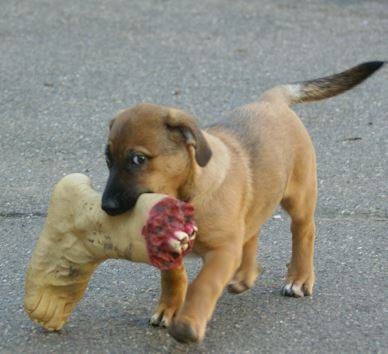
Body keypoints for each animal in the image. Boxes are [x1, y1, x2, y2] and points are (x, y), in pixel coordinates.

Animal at [102, 61, 384, 342]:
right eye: (107, 159)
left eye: (138, 159)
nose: (106, 207)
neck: (188, 193)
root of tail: (271, 100)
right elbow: (172, 276)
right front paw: (169, 309)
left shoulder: (223, 250)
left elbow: (204, 284)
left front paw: (188, 323)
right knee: (253, 231)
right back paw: (245, 275)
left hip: (300, 196)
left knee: (303, 231)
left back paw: (299, 278)